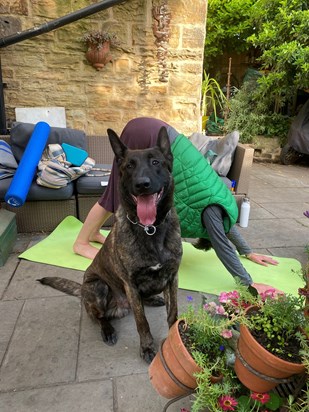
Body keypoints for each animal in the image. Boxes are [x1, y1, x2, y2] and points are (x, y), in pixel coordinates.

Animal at [38, 126, 183, 364]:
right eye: (129, 166)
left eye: (155, 162)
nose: (142, 184)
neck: (150, 229)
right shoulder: (130, 284)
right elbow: (142, 321)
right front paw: (147, 347)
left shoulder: (172, 278)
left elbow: (173, 314)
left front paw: (173, 340)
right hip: (98, 286)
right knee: (100, 316)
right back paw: (107, 330)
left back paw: (152, 299)